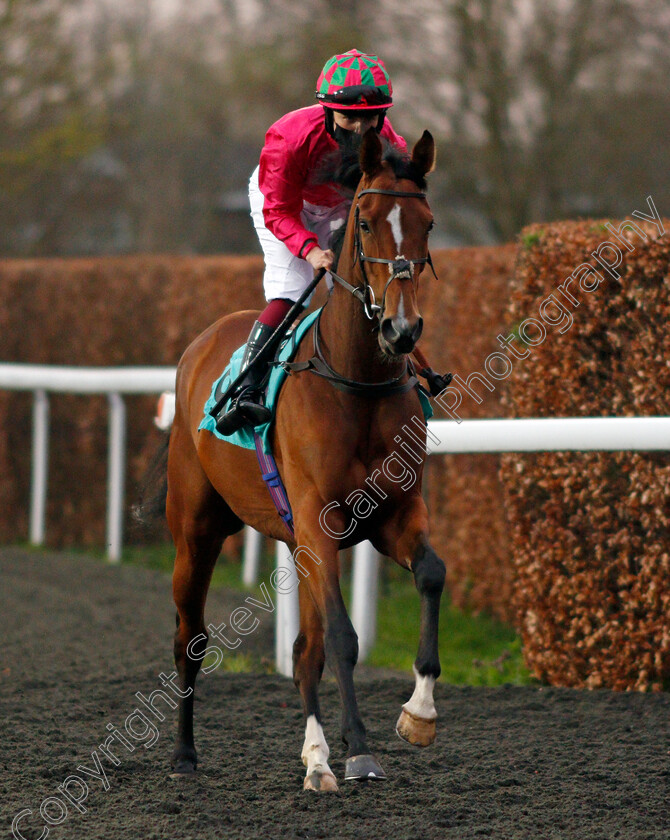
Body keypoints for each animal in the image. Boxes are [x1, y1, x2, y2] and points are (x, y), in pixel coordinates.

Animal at [165, 128, 446, 792]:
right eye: (364, 224)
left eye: (427, 222)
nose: (400, 329)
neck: (357, 381)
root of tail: (200, 345)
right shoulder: (319, 521)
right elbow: (344, 639)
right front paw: (360, 751)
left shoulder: (391, 515)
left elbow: (430, 574)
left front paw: (418, 714)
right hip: (196, 531)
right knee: (190, 637)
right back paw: (185, 754)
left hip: (300, 544)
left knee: (302, 653)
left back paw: (315, 759)